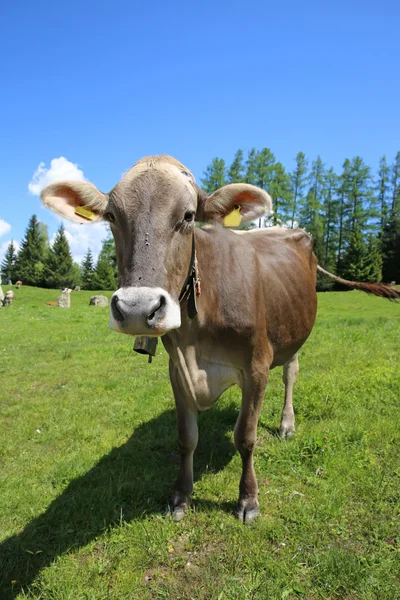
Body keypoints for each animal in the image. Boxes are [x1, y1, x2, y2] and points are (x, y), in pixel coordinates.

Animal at [40, 156, 400, 524]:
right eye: (112, 216)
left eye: (187, 216)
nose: (138, 309)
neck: (196, 336)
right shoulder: (177, 370)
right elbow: (186, 438)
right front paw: (181, 495)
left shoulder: (257, 366)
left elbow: (246, 436)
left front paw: (248, 499)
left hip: (292, 337)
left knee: (290, 373)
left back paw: (286, 423)